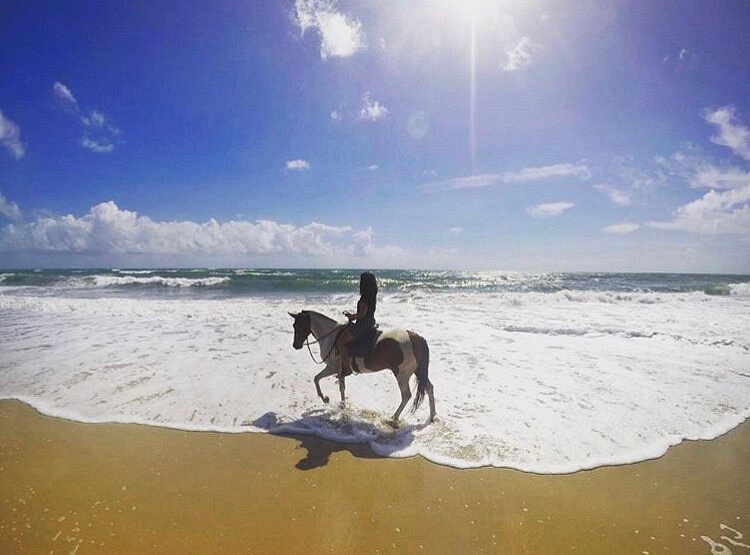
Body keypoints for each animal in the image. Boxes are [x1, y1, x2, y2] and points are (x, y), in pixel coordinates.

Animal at [290, 310, 438, 424]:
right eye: (294, 325)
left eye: (298, 325)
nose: (296, 345)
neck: (331, 336)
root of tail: (415, 337)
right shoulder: (337, 369)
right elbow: (329, 383)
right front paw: (339, 404)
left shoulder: (333, 368)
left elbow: (319, 380)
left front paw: (326, 398)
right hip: (418, 371)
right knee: (429, 387)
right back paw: (432, 415)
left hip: (402, 374)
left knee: (406, 395)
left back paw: (394, 417)